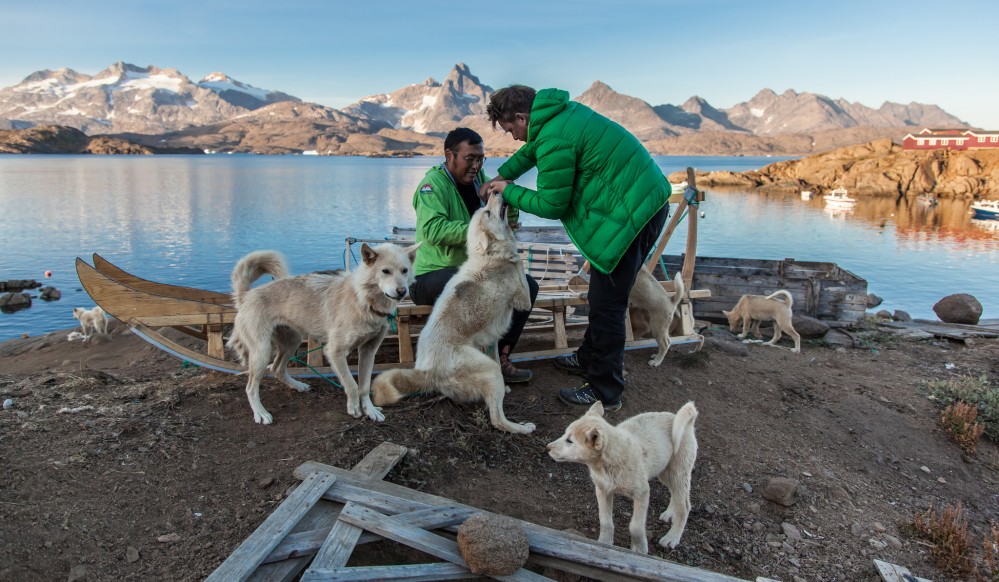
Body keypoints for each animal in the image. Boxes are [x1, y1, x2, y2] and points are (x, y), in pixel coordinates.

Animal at [229, 243, 420, 428]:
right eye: (385, 271)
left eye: (405, 270)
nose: (402, 291)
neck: (363, 300)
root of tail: (246, 295)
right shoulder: (335, 352)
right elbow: (351, 384)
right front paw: (354, 408)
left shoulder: (368, 351)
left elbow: (364, 386)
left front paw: (370, 410)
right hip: (262, 352)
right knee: (251, 387)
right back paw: (260, 413)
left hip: (292, 342)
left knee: (277, 369)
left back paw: (298, 386)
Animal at [370, 194, 536, 436]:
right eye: (487, 212)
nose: (494, 193)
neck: (488, 255)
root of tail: (427, 371)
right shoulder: (523, 298)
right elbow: (519, 261)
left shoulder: (491, 342)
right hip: (489, 370)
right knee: (497, 419)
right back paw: (522, 428)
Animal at [548, 402, 704, 556]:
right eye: (565, 434)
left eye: (570, 441)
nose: (547, 447)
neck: (608, 464)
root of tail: (686, 421)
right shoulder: (602, 491)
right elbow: (605, 521)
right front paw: (604, 543)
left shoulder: (642, 493)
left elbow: (635, 526)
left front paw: (639, 548)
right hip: (664, 472)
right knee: (675, 494)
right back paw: (670, 512)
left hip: (678, 473)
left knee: (685, 505)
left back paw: (672, 537)